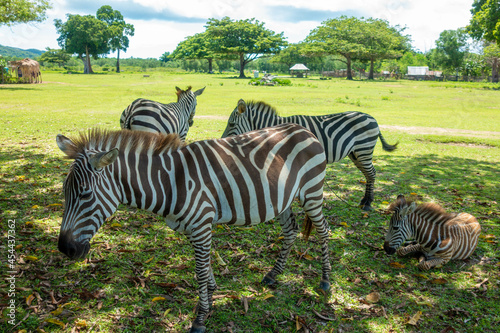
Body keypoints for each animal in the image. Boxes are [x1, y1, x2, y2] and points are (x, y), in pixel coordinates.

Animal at [55, 122, 332, 332]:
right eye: (64, 192)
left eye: (85, 194)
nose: (65, 249)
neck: (170, 181)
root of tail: (303, 129)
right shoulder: (192, 226)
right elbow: (205, 265)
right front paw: (210, 295)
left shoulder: (201, 223)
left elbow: (199, 269)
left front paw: (199, 318)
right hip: (283, 199)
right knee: (290, 230)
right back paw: (273, 274)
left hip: (312, 192)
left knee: (323, 230)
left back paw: (326, 281)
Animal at [221, 98, 396, 210]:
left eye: (231, 124)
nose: (221, 140)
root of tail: (371, 118)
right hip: (356, 154)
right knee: (368, 174)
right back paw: (365, 200)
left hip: (364, 150)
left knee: (372, 173)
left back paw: (368, 203)